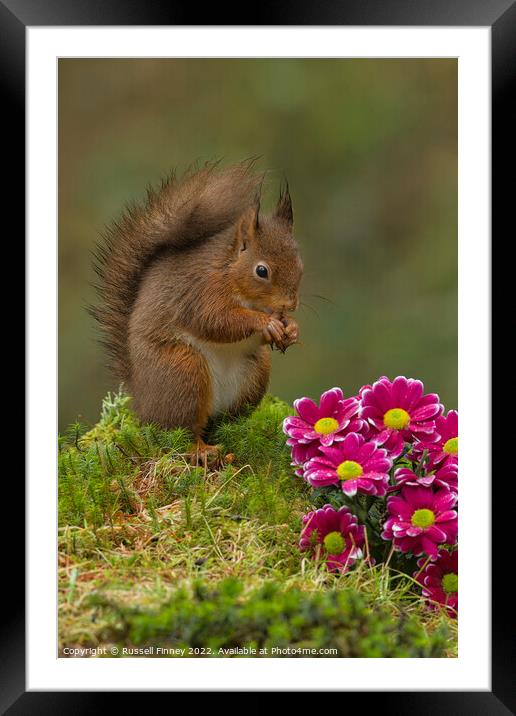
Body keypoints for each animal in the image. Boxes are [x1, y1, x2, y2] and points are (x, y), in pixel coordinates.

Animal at [92, 163, 302, 450]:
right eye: (262, 271)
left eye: (299, 263)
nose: (291, 303)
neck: (228, 270)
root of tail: (142, 403)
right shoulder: (199, 292)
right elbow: (216, 320)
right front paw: (264, 323)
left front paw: (291, 328)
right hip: (183, 373)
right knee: (181, 429)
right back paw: (199, 450)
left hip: (255, 373)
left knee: (221, 422)